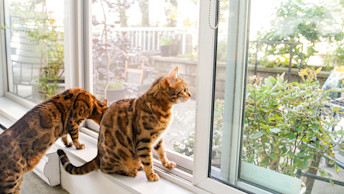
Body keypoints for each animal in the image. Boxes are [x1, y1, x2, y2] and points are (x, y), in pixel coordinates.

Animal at [58, 66, 191, 182]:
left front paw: (167, 164)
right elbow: (149, 161)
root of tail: (98, 155)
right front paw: (151, 175)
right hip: (117, 158)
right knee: (105, 169)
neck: (163, 108)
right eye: (184, 89)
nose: (190, 95)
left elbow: (162, 152)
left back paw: (137, 166)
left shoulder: (158, 138)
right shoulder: (144, 141)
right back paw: (130, 171)